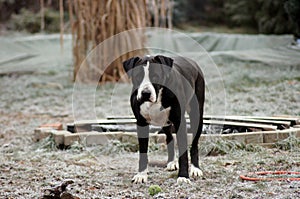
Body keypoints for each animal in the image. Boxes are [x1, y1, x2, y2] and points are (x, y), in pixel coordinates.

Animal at [123, 54, 205, 183]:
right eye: (137, 77)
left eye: (156, 76)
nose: (145, 93)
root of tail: (192, 62)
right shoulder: (141, 123)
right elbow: (143, 152)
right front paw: (141, 175)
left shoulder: (180, 122)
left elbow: (183, 153)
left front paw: (183, 176)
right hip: (165, 122)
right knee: (169, 137)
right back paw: (171, 162)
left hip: (197, 115)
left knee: (195, 143)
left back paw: (195, 168)